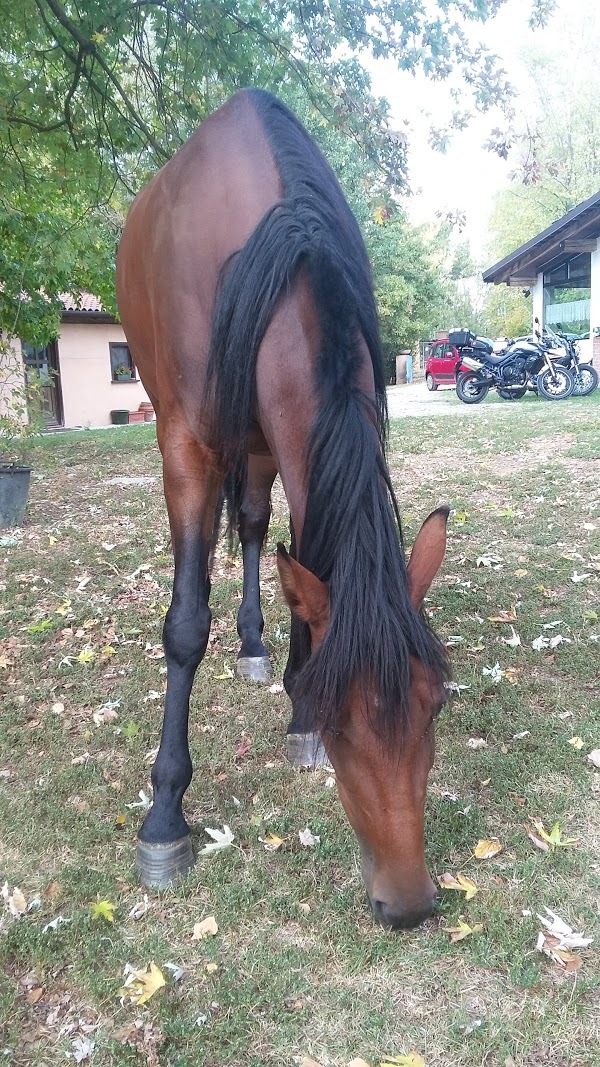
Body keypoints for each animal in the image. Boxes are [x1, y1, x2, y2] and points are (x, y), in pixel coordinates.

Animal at [115, 89, 448, 926]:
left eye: (435, 705)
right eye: (343, 723)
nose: (407, 904)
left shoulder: (289, 444)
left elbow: (300, 567)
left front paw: (295, 713)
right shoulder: (185, 445)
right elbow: (185, 623)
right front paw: (165, 817)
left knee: (257, 531)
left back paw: (255, 643)